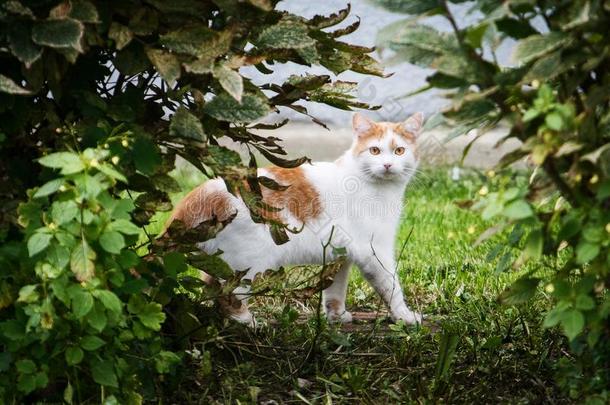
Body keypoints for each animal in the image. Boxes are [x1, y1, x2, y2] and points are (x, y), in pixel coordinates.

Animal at [166, 112, 422, 326]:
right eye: (375, 151)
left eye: (399, 151)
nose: (388, 165)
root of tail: (203, 193)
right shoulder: (374, 251)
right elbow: (391, 285)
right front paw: (405, 316)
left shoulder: (340, 253)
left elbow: (335, 289)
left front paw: (337, 315)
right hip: (250, 264)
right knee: (229, 294)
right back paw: (248, 321)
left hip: (220, 260)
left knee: (212, 286)